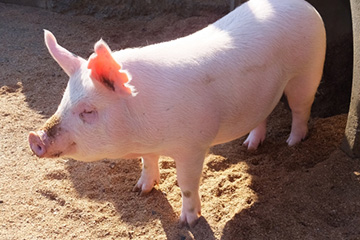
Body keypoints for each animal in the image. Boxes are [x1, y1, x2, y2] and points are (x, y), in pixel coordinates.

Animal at [28, 0, 326, 227]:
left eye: (88, 111)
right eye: (63, 101)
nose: (35, 137)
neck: (141, 132)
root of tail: (304, 5)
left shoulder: (193, 146)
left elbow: (186, 183)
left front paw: (187, 222)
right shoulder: (150, 147)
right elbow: (148, 162)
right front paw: (140, 190)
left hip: (308, 71)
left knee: (301, 108)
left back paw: (293, 142)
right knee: (262, 114)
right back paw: (250, 146)